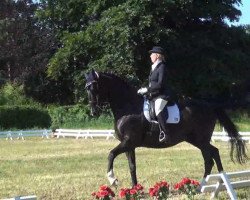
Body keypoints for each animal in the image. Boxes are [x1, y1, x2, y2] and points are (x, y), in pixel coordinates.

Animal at [84, 69, 248, 188]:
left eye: (95, 87)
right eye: (87, 88)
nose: (93, 112)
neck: (128, 107)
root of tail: (210, 106)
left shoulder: (128, 142)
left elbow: (111, 154)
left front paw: (112, 179)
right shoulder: (130, 145)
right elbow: (132, 166)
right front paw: (135, 189)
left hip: (201, 140)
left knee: (210, 157)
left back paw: (205, 185)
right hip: (195, 140)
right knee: (213, 154)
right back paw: (215, 181)